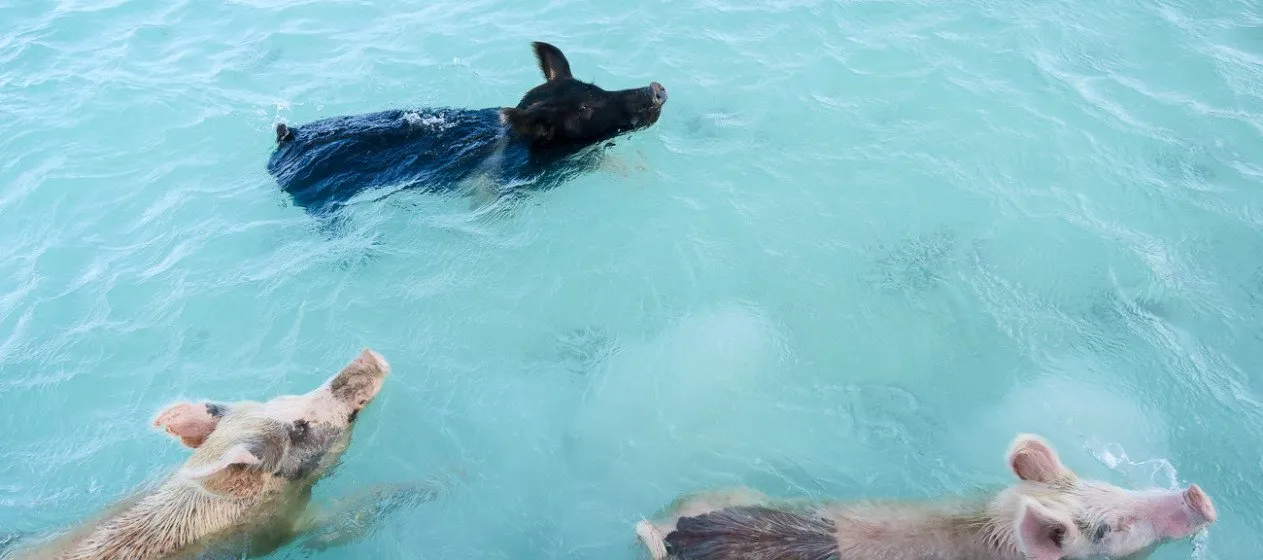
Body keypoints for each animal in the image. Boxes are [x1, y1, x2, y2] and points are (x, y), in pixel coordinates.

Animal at [8, 349, 441, 560]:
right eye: (299, 427)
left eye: (279, 400)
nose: (368, 355)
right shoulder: (290, 527)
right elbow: (354, 512)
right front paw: (438, 483)